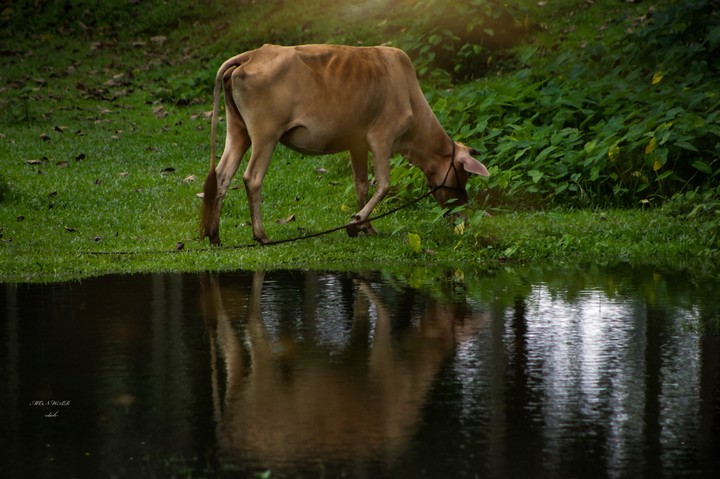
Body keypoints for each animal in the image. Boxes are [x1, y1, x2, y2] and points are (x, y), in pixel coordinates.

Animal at [200, 44, 490, 245]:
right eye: (464, 173)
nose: (463, 211)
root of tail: (250, 55)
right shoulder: (382, 137)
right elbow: (383, 184)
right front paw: (356, 222)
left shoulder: (358, 143)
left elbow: (361, 184)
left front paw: (367, 227)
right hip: (265, 135)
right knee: (252, 178)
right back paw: (261, 235)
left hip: (238, 131)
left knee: (223, 176)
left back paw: (215, 235)